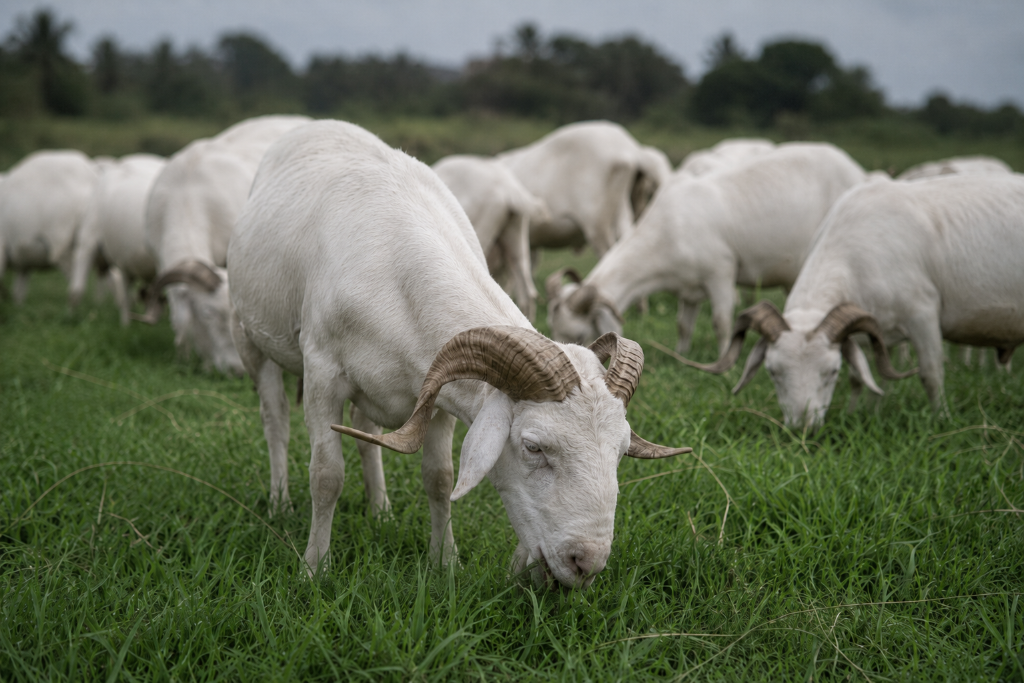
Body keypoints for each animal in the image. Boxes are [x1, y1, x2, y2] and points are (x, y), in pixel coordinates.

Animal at [547, 143, 867, 356]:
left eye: (578, 335)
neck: (668, 231)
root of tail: (856, 169)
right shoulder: (688, 288)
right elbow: (683, 325)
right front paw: (682, 355)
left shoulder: (721, 274)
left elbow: (722, 322)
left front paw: (725, 360)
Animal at [690, 173, 1024, 431]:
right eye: (772, 372)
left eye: (831, 372)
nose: (803, 429)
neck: (856, 251)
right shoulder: (876, 330)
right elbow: (864, 376)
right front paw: (860, 415)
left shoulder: (923, 315)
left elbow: (931, 374)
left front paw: (941, 420)